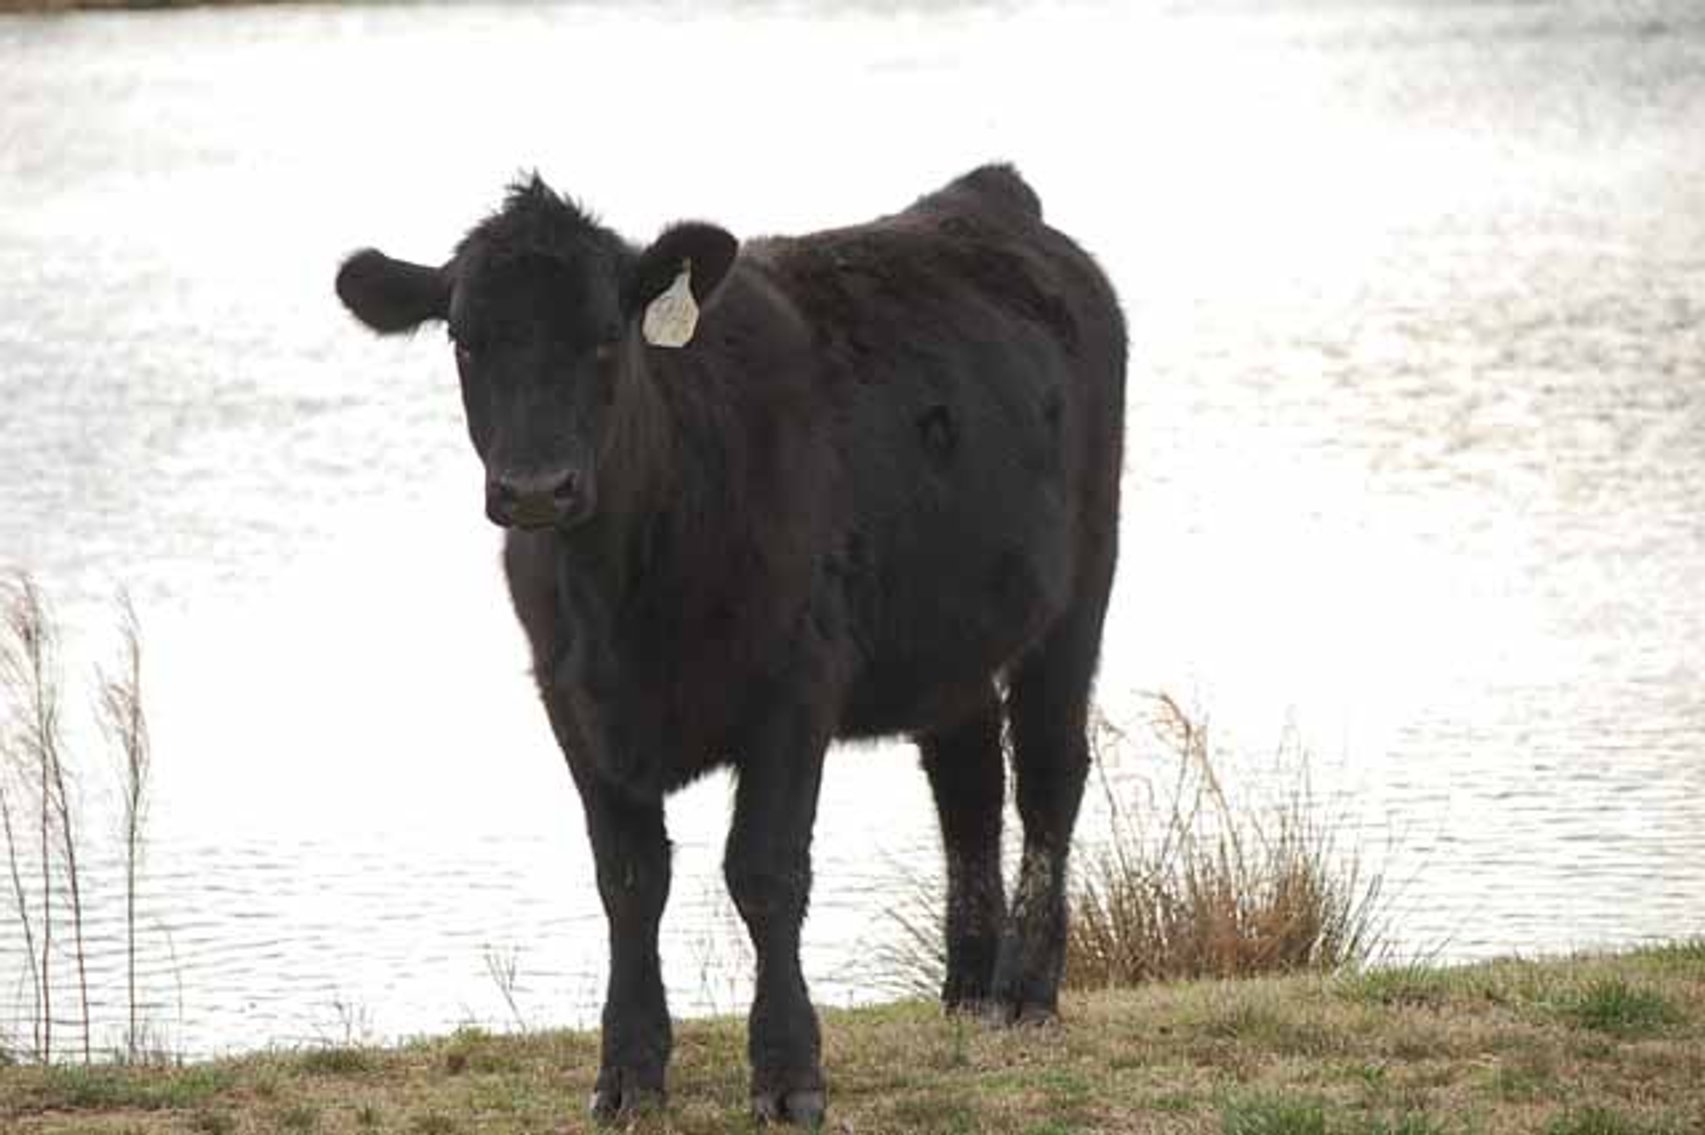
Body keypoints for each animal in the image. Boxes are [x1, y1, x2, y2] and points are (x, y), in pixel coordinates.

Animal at [334, 163, 1125, 1126]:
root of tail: (983, 198)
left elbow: (765, 872)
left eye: (605, 336)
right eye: (464, 340)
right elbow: (629, 879)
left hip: (1080, 587)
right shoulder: (570, 700)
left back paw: (1024, 990)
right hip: (951, 635)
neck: (622, 594)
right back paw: (967, 986)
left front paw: (788, 1072)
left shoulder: (793, 686)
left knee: (1049, 769)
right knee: (965, 777)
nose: (534, 490)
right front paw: (628, 1070)